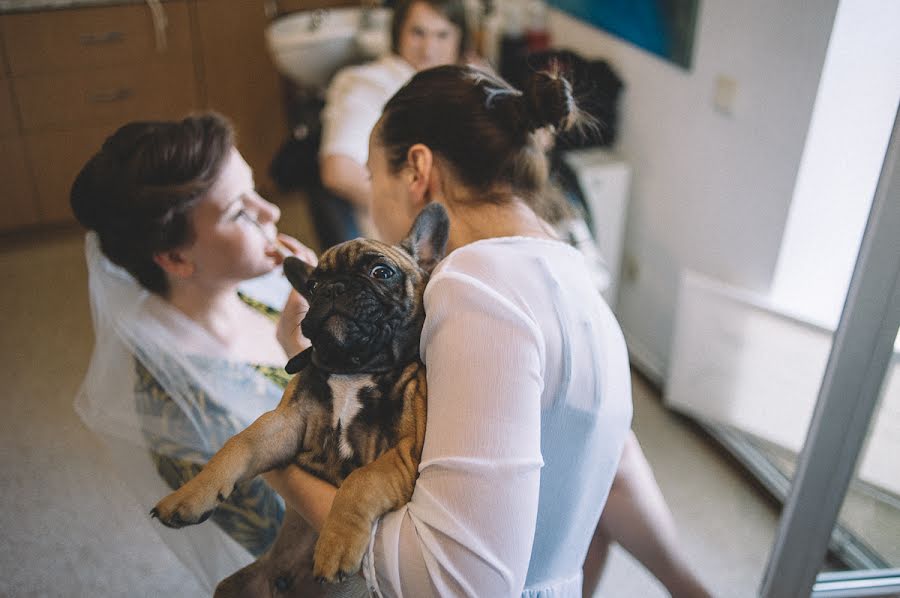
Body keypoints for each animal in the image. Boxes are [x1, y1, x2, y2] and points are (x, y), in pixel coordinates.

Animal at [152, 205, 454, 596]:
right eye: (312, 286)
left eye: (381, 272)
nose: (335, 287)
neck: (354, 367)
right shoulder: (286, 423)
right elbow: (237, 445)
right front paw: (188, 496)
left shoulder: (406, 451)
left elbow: (362, 480)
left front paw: (335, 546)